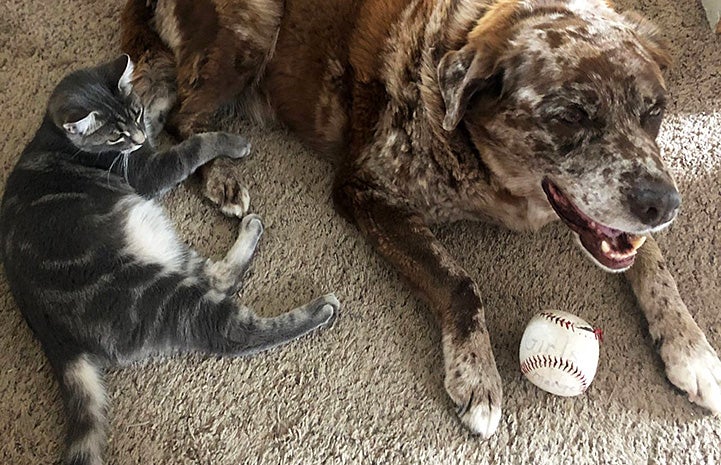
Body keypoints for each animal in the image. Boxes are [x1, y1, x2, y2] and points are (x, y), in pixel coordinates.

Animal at [0, 55, 338, 464]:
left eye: (133, 113)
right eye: (113, 136)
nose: (135, 138)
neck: (55, 137)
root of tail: (55, 339)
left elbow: (157, 116)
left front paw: (162, 96)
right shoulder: (146, 170)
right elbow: (193, 146)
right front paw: (229, 141)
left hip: (164, 250)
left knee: (217, 275)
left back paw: (250, 229)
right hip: (154, 292)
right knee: (229, 329)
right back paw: (318, 309)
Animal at [121, 0, 720, 436]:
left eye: (655, 111)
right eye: (570, 116)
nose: (665, 205)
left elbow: (652, 262)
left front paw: (691, 347)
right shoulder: (365, 190)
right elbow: (458, 282)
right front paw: (476, 372)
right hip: (250, 33)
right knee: (181, 117)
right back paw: (219, 174)